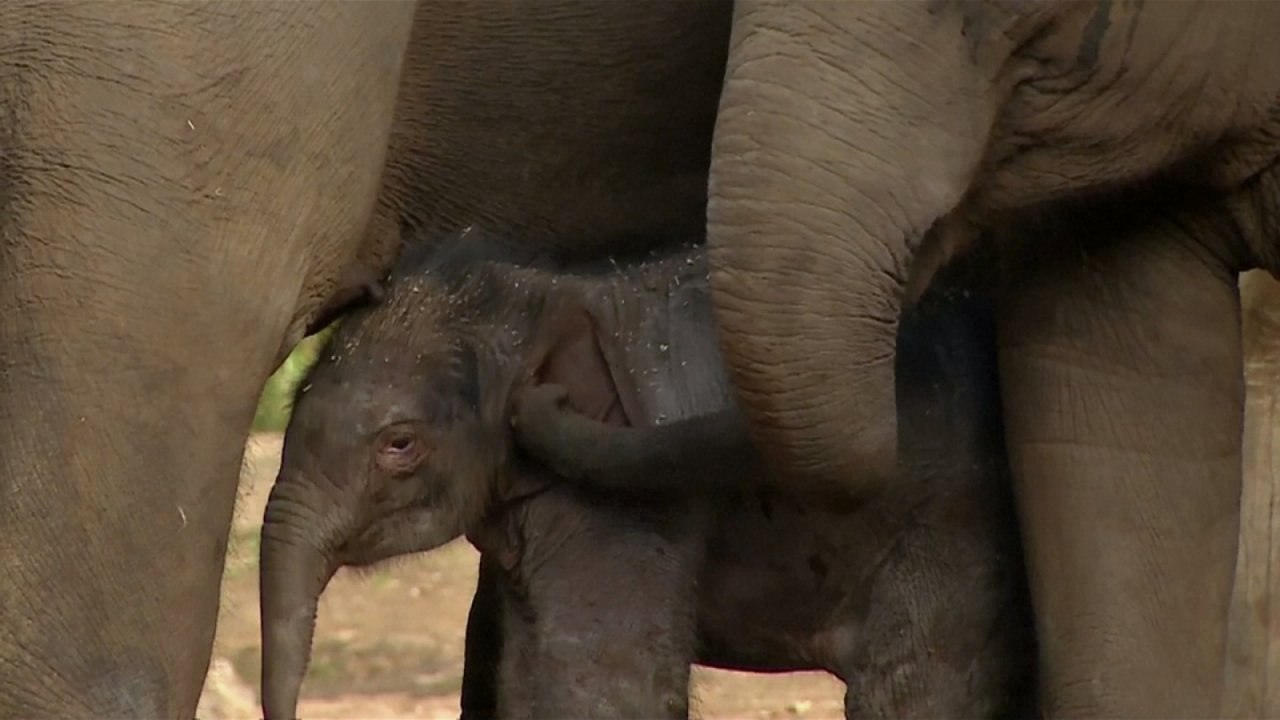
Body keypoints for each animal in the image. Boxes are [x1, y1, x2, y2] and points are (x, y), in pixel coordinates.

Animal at [258, 228, 1036, 718]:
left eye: (399, 444)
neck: (553, 294)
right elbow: (525, 674)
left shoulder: (624, 511)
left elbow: (604, 683)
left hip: (949, 514)